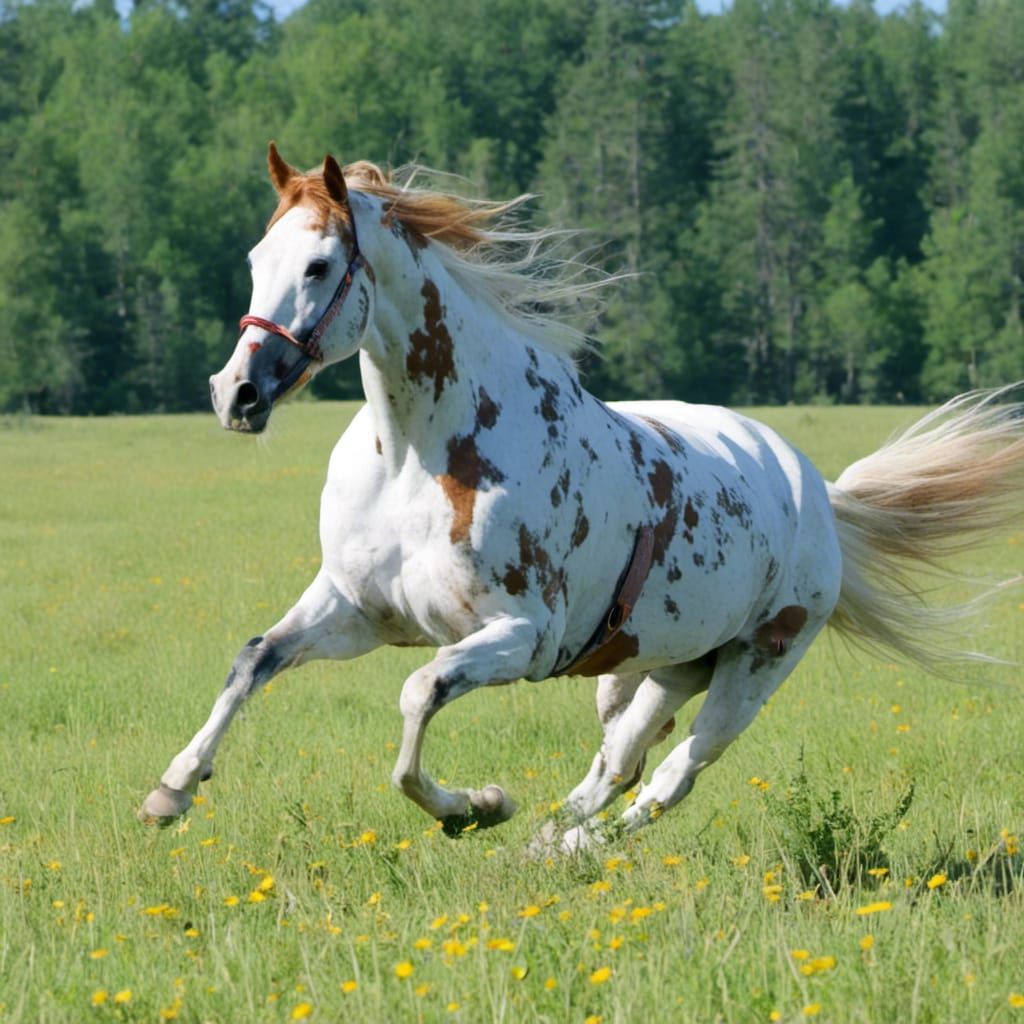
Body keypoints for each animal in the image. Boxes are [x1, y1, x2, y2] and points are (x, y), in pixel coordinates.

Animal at [140, 144, 1024, 852]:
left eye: (320, 265)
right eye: (258, 257)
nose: (237, 393)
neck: (421, 459)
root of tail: (817, 491)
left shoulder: (520, 638)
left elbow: (418, 696)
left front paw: (475, 806)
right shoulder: (357, 609)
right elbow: (255, 658)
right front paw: (172, 790)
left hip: (754, 668)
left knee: (667, 773)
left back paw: (558, 845)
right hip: (664, 665)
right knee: (625, 755)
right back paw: (559, 838)